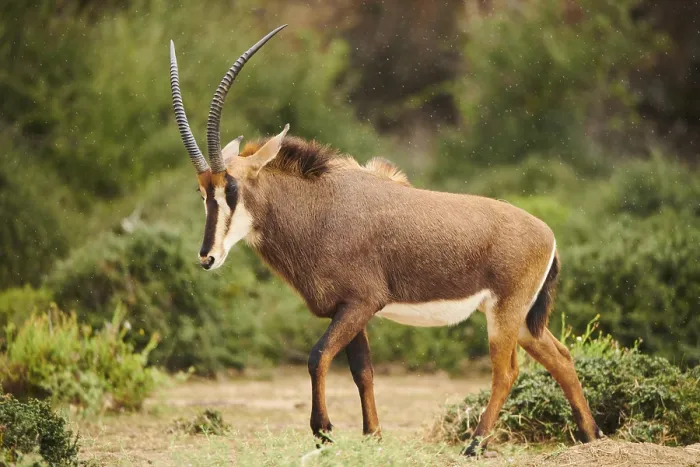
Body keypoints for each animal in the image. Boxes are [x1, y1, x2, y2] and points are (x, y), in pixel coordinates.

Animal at [168, 26, 602, 455]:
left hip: (505, 314)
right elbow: (362, 371)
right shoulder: (347, 310)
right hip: (523, 319)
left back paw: (475, 445)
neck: (322, 205)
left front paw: (323, 433)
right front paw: (372, 436)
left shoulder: (360, 303)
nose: (207, 257)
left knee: (506, 370)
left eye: (231, 188)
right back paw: (591, 435)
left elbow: (318, 356)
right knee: (561, 357)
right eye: (201, 191)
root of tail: (548, 235)